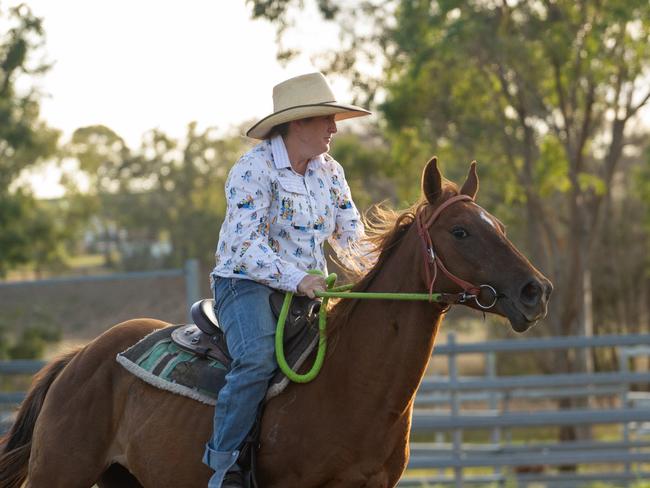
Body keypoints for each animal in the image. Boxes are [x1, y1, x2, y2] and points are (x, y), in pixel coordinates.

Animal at [1, 158, 552, 486]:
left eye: (500, 226)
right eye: (460, 231)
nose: (536, 291)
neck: (352, 386)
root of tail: (81, 358)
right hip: (60, 473)